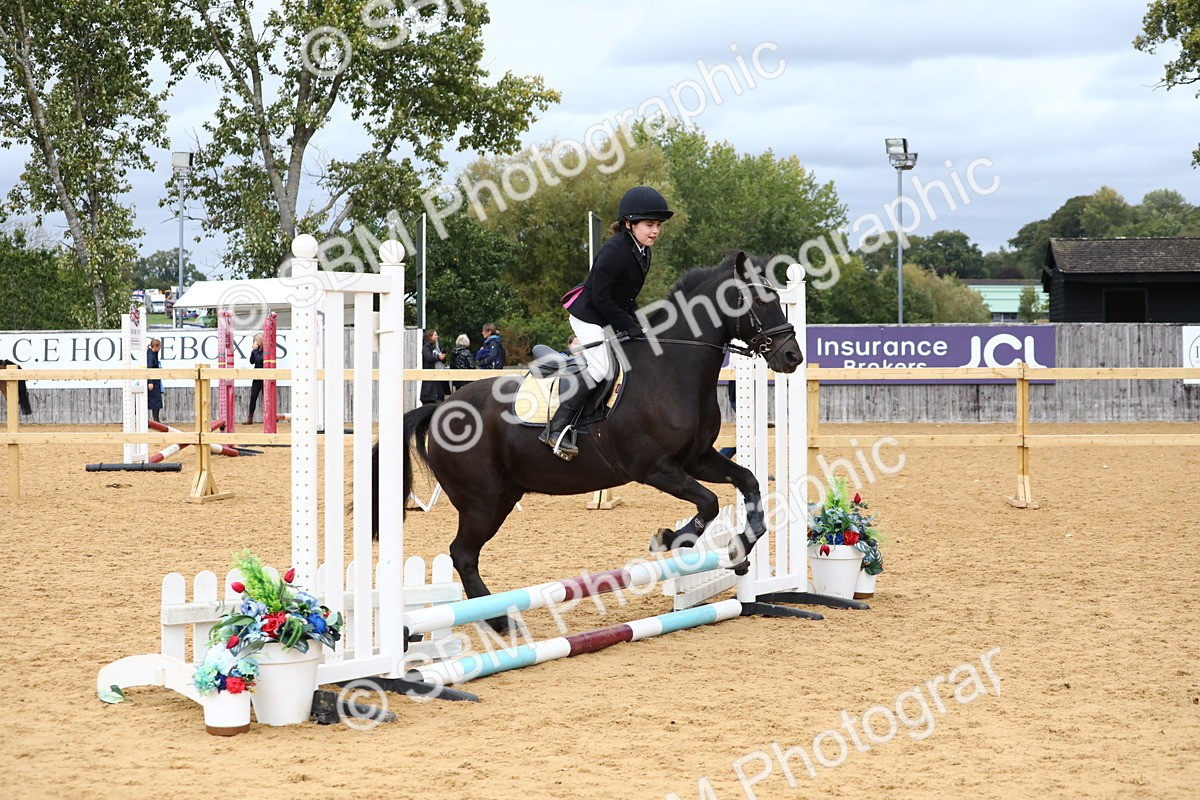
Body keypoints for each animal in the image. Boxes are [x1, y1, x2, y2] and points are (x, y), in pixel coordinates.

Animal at [383, 251, 803, 632]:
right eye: (760, 301)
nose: (792, 356)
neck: (671, 369)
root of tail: (440, 408)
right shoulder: (654, 468)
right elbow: (709, 502)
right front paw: (669, 539)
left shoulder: (696, 459)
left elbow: (748, 481)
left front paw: (741, 546)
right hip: (479, 500)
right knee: (463, 554)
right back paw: (500, 622)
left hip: (501, 496)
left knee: (465, 553)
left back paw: (497, 621)